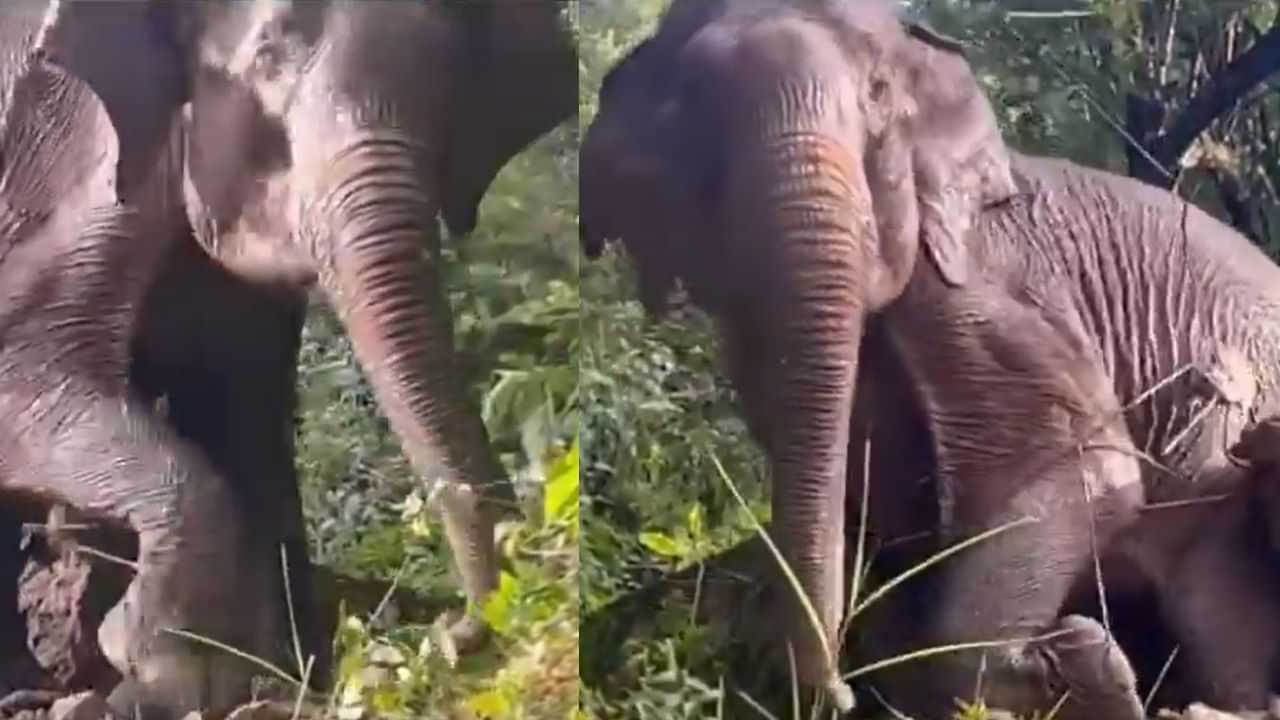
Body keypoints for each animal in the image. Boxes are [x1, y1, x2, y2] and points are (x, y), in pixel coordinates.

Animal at [1, 1, 576, 717]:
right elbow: (26, 373)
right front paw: (161, 674)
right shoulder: (64, 153)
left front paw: (264, 678)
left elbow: (242, 416)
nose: (457, 628)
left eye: (452, 86)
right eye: (267, 58)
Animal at [581, 0, 1280, 717]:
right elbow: (886, 516)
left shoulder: (983, 286)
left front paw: (1086, 667)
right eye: (698, 109)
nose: (836, 694)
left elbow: (1084, 468)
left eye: (877, 94)